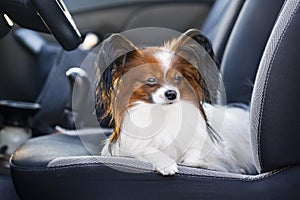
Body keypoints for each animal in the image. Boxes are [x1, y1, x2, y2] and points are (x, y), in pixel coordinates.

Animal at [95, 28, 255, 175]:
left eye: (178, 79)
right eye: (151, 80)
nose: (171, 94)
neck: (164, 112)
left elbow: (195, 155)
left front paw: (200, 163)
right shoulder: (129, 146)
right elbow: (147, 149)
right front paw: (166, 164)